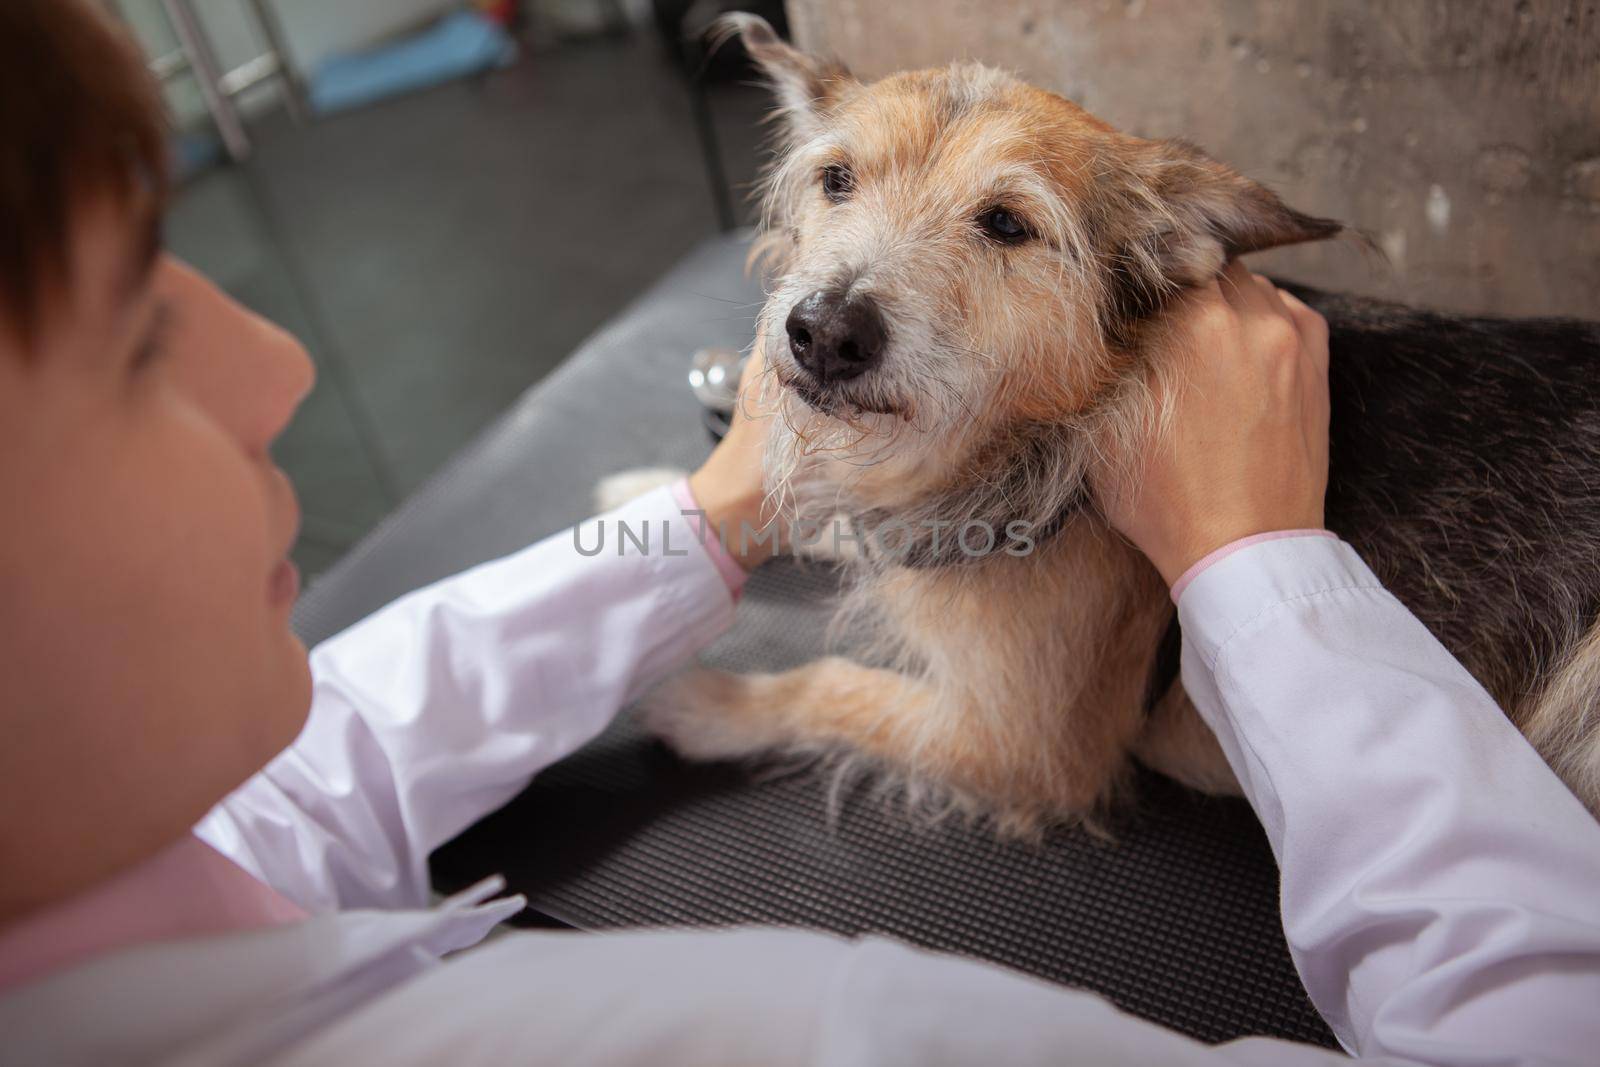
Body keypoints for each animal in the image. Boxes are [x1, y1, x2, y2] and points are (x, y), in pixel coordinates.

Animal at [633, 12, 1600, 838]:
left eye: (1007, 224)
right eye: (837, 179)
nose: (826, 332)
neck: (1039, 437)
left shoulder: (1025, 744)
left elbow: (831, 684)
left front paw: (709, 704)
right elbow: (825, 521)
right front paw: (645, 489)